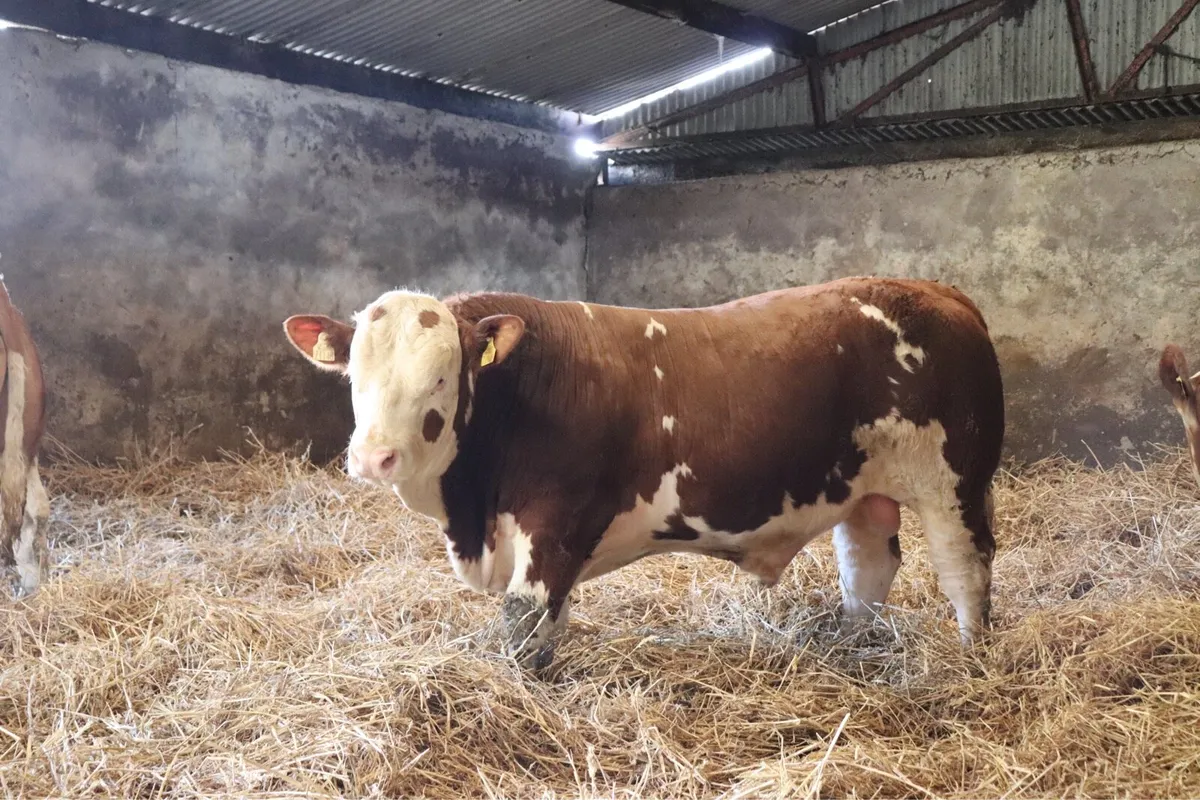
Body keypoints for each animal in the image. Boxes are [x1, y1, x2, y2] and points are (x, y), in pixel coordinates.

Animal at [284, 276, 1004, 669]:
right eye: (353, 375)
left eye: (441, 376)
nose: (373, 457)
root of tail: (936, 291)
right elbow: (551, 623)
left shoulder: (557, 524)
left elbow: (524, 625)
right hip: (863, 490)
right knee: (867, 570)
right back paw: (855, 643)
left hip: (956, 485)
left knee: (964, 573)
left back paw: (971, 661)